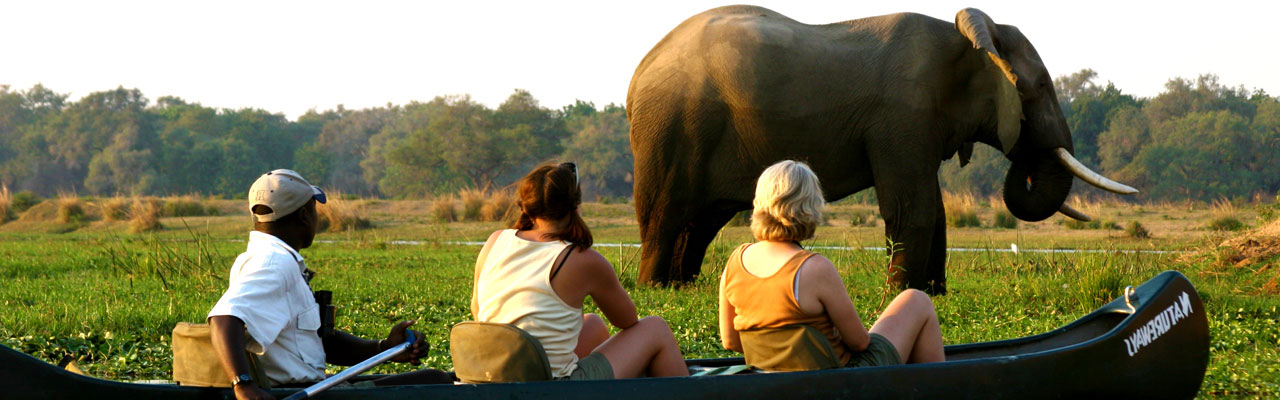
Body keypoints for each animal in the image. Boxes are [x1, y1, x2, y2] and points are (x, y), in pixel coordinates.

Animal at [624, 4, 1136, 293]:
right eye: (1041, 87)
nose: (1028, 156)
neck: (967, 37)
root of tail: (639, 71)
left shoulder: (918, 121)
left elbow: (935, 209)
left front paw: (932, 295)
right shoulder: (902, 113)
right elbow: (913, 206)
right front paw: (899, 295)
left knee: (702, 219)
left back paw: (681, 288)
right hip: (673, 129)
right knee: (666, 211)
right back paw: (654, 291)